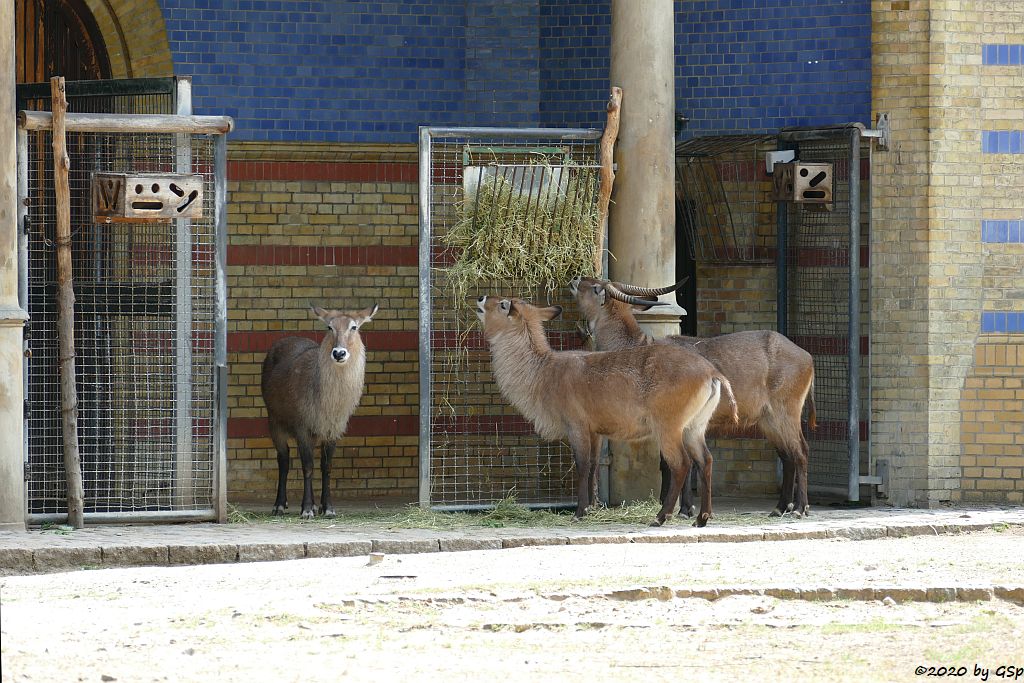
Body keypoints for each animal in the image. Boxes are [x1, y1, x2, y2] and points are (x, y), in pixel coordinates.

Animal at [260, 305, 380, 518]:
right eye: (329, 327)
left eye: (354, 327)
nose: (339, 353)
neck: (329, 402)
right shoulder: (303, 428)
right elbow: (308, 466)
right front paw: (306, 509)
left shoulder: (333, 430)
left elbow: (327, 467)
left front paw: (328, 507)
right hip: (274, 421)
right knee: (284, 460)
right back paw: (280, 505)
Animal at [475, 294, 733, 528]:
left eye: (503, 304)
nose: (480, 298)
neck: (544, 371)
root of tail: (711, 373)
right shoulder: (596, 431)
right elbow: (592, 466)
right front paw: (591, 507)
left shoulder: (576, 426)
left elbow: (581, 465)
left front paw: (579, 512)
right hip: (694, 427)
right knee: (705, 460)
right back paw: (702, 518)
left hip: (669, 428)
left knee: (681, 464)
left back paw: (661, 517)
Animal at [569, 278, 815, 518]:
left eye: (597, 287)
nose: (575, 279)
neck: (640, 347)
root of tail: (807, 356)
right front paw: (680, 506)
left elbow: (676, 464)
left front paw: (683, 508)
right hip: (767, 420)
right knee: (787, 456)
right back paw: (780, 507)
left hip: (786, 414)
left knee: (801, 451)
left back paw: (800, 508)